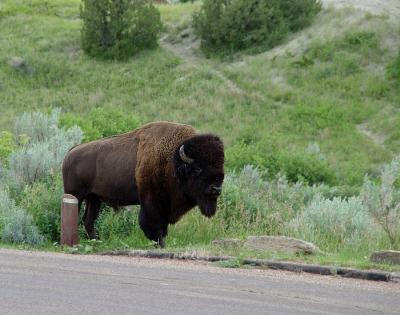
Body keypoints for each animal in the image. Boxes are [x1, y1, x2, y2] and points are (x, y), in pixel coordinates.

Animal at [62, 121, 225, 247]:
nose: (216, 189)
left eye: (221, 167)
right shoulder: (152, 202)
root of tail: (70, 153)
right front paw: (161, 245)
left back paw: (97, 242)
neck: (173, 161)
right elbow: (154, 227)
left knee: (88, 221)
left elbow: (162, 228)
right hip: (76, 195)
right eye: (198, 168)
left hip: (94, 198)